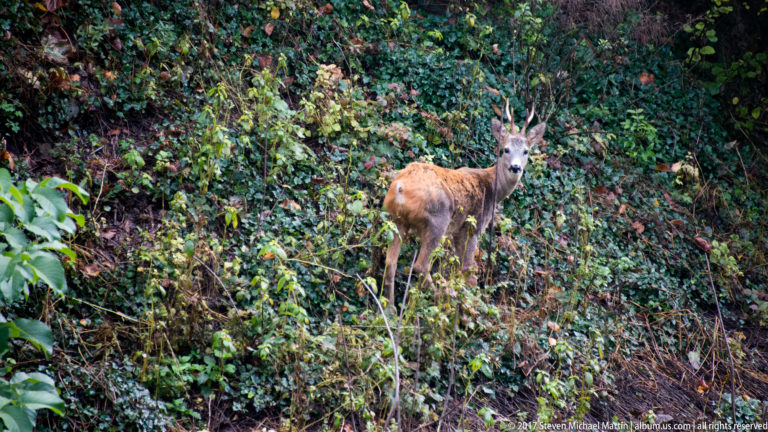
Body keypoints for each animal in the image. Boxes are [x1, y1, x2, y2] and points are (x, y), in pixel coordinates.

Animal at [383, 101, 546, 307]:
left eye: (526, 151)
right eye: (506, 149)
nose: (515, 167)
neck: (493, 188)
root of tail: (400, 187)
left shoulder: (456, 231)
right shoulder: (472, 226)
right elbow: (467, 268)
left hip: (397, 220)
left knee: (390, 262)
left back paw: (390, 308)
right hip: (437, 219)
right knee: (421, 265)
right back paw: (443, 298)